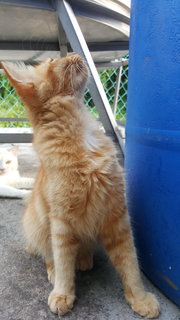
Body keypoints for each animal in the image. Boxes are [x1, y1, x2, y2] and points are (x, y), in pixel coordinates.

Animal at [0, 55, 160, 318]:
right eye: (54, 59)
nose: (76, 55)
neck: (81, 138)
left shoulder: (117, 215)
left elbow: (130, 263)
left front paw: (139, 298)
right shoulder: (61, 222)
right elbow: (63, 261)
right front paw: (62, 293)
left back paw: (84, 259)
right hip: (38, 225)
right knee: (48, 254)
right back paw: (55, 271)